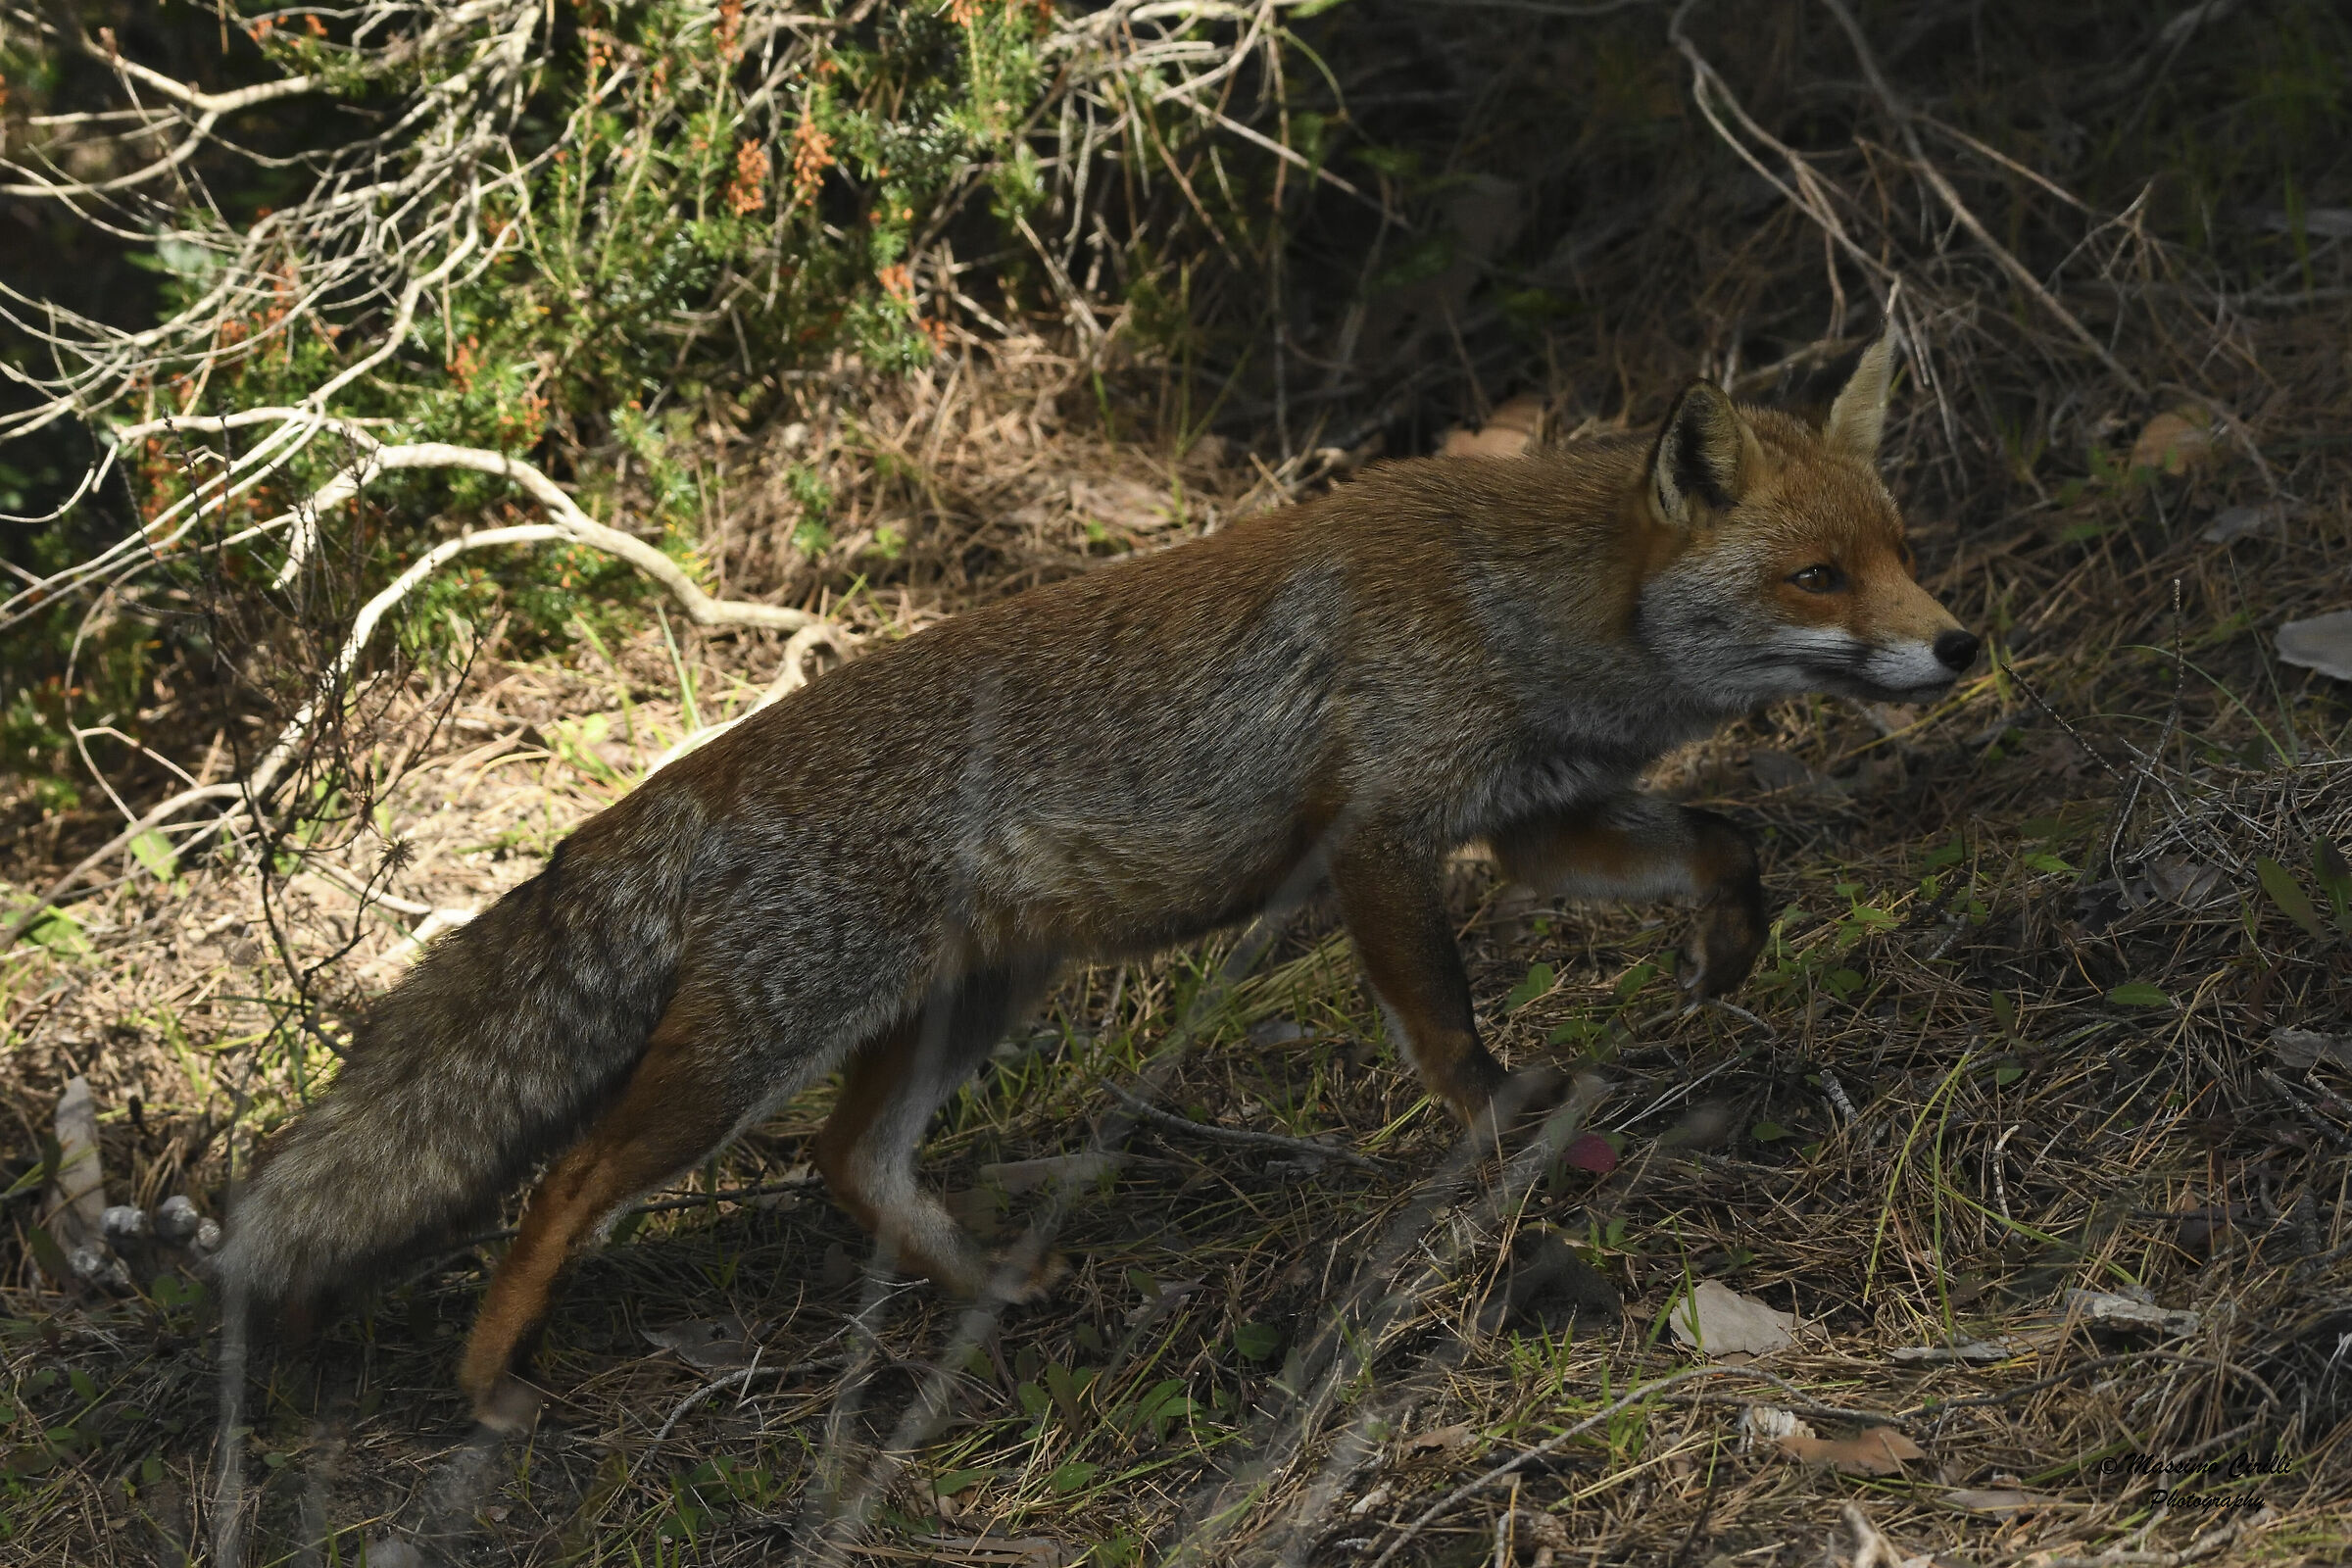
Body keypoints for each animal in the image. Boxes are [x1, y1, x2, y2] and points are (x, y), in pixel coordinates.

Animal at [217, 323, 1978, 1426]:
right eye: (1818, 575)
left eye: (1904, 547)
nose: (1961, 646)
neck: (1521, 609)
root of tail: (701, 769)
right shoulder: (1384, 843)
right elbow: (1457, 1045)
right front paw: (1517, 1150)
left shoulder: (1535, 819)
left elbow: (1724, 839)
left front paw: (1728, 951)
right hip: (755, 1050)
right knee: (572, 1178)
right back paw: (485, 1387)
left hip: (975, 1003)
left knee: (849, 1161)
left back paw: (990, 1291)